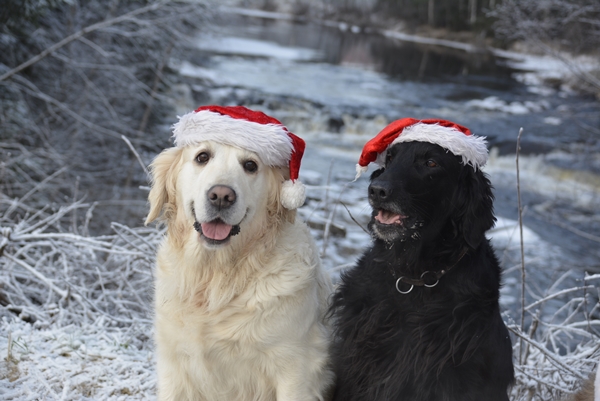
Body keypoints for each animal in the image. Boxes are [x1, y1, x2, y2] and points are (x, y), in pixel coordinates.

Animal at [145, 106, 332, 400]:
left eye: (250, 165)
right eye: (202, 157)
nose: (221, 196)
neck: (215, 277)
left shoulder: (295, 368)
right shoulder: (173, 366)